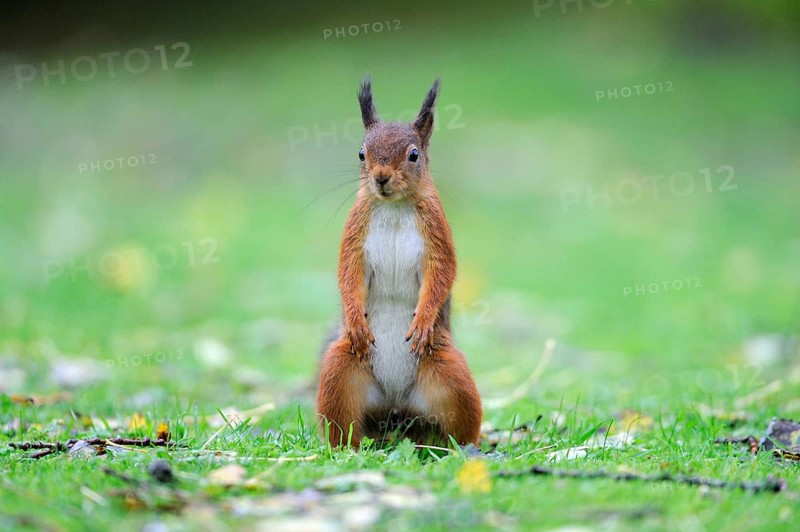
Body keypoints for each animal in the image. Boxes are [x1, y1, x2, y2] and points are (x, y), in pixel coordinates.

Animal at [316, 78, 482, 449]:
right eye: (361, 153)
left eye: (414, 154)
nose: (381, 177)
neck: (393, 206)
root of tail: (395, 406)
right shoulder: (355, 233)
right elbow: (348, 274)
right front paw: (356, 321)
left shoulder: (437, 233)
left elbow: (442, 272)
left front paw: (422, 321)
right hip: (339, 370)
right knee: (343, 427)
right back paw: (347, 450)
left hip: (450, 374)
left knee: (456, 426)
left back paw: (458, 449)